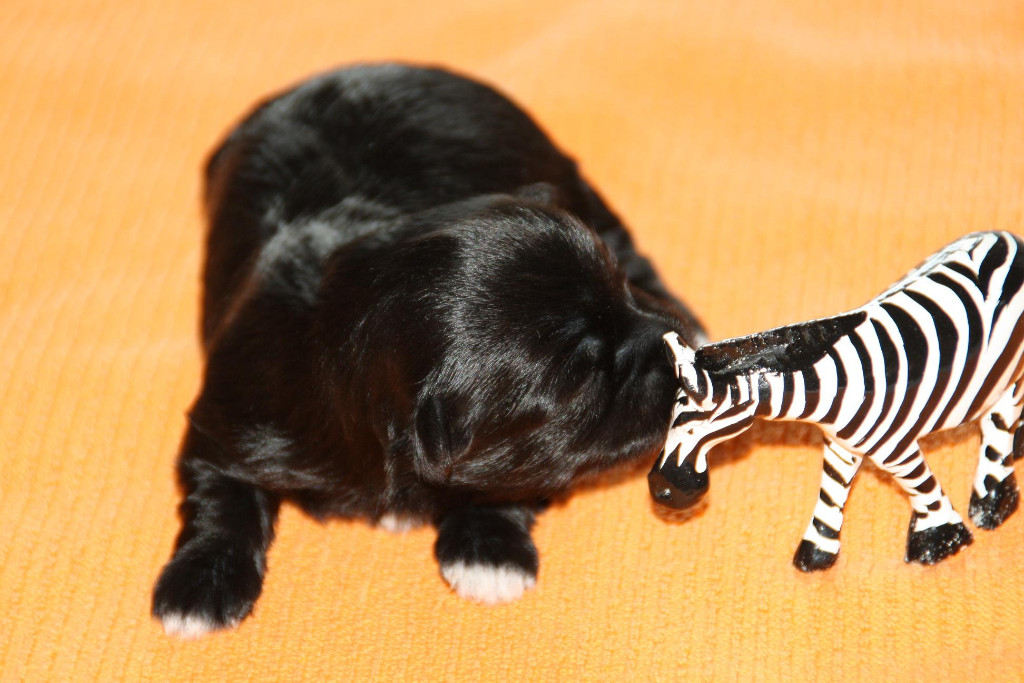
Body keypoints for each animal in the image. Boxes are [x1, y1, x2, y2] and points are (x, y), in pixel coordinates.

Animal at [152, 63, 705, 637]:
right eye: (585, 380)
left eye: (621, 290)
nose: (678, 340)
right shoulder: (234, 410)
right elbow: (219, 491)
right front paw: (200, 586)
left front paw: (490, 552)